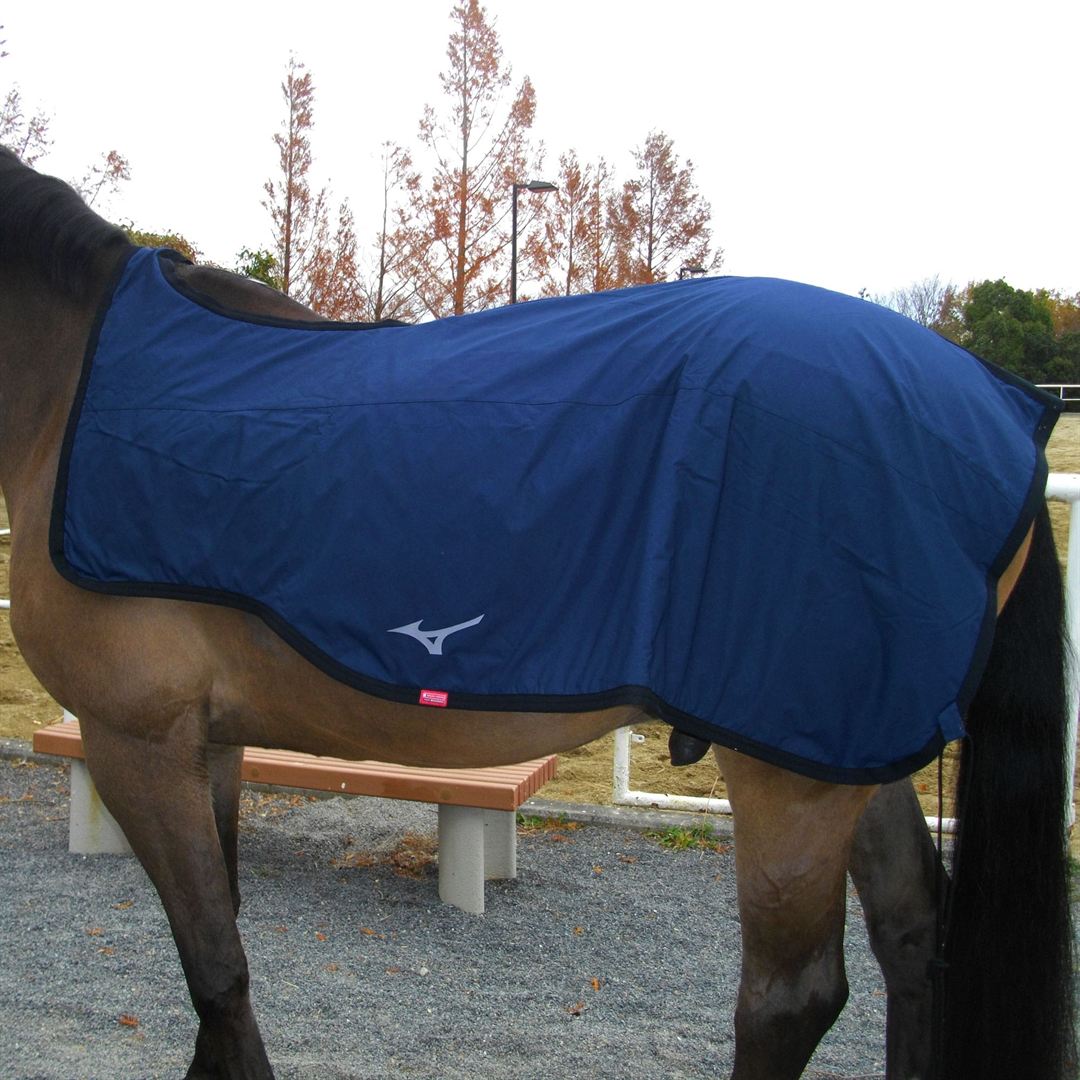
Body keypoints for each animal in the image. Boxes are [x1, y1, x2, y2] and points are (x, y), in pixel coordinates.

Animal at [0, 144, 1074, 1080]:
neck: (69, 385)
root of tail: (1001, 407)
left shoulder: (136, 739)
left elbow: (215, 967)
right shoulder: (206, 741)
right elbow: (219, 952)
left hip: (791, 776)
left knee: (790, 996)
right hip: (851, 754)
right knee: (911, 934)